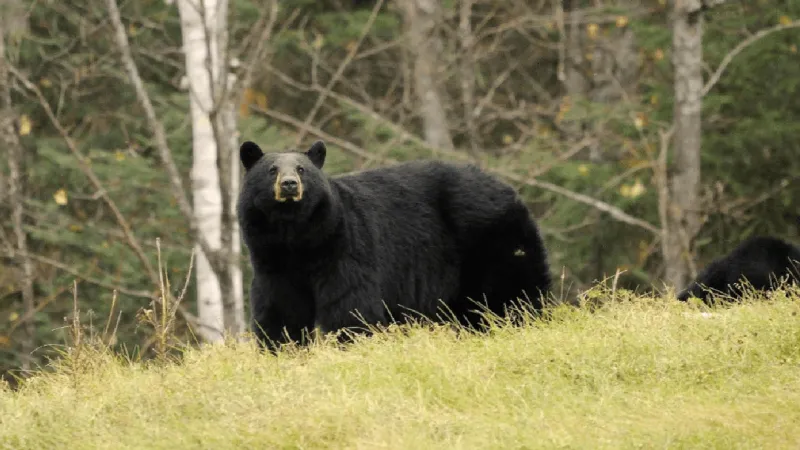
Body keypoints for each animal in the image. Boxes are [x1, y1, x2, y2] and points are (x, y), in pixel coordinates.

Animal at [236, 139, 551, 350]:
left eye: (302, 169)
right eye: (271, 170)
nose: (289, 184)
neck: (297, 236)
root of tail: (508, 188)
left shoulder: (345, 246)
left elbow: (350, 303)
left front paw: (351, 343)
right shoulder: (271, 259)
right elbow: (281, 307)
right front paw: (282, 348)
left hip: (491, 239)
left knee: (512, 292)